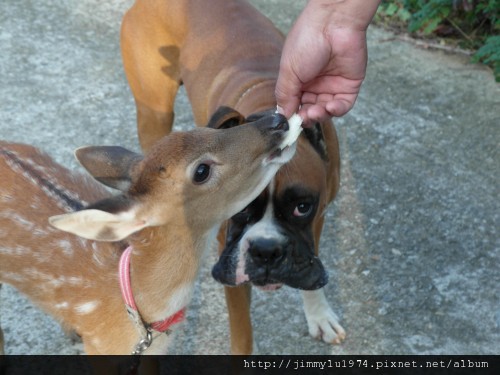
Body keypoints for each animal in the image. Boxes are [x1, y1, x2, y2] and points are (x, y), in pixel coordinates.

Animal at [121, 0, 348, 354]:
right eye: (239, 208)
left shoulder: (319, 217)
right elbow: (242, 331)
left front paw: (319, 314)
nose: (266, 251)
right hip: (154, 115)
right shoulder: (229, 258)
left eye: (302, 207)